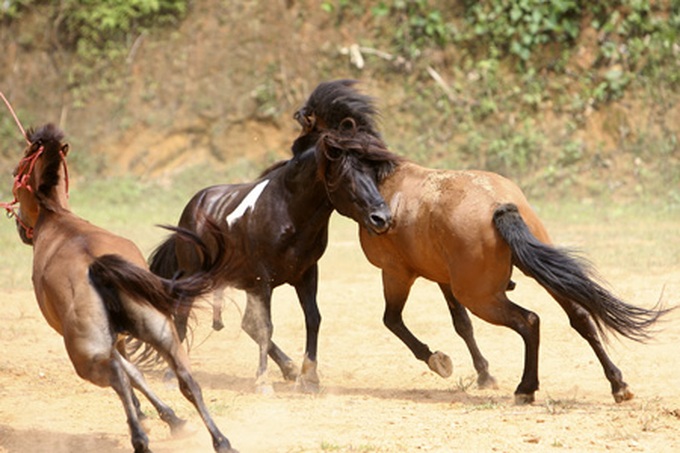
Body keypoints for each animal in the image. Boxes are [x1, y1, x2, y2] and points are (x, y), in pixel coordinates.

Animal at [3, 123, 236, 452]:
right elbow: (137, 373)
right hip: (163, 333)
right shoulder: (122, 339)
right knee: (187, 381)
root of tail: (97, 267)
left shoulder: (109, 343)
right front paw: (173, 420)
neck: (57, 218)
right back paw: (221, 440)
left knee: (118, 377)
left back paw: (140, 437)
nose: (19, 228)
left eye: (16, 171)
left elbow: (132, 375)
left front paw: (155, 417)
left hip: (86, 356)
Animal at [147, 110, 393, 393]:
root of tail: (191, 210)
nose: (382, 218)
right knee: (181, 316)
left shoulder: (306, 274)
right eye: (348, 176)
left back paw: (289, 368)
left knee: (245, 324)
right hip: (194, 276)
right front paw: (263, 381)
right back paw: (170, 376)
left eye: (375, 174)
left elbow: (312, 319)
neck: (288, 209)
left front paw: (308, 377)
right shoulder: (262, 279)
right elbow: (265, 327)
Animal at [294, 79, 670, 404]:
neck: (384, 180)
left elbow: (393, 321)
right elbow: (461, 324)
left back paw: (526, 389)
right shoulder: (443, 277)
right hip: (532, 275)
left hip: (481, 296)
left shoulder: (397, 273)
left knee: (529, 321)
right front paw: (484, 374)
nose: (294, 155)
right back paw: (618, 385)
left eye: (308, 129)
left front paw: (439, 361)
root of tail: (500, 205)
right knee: (579, 316)